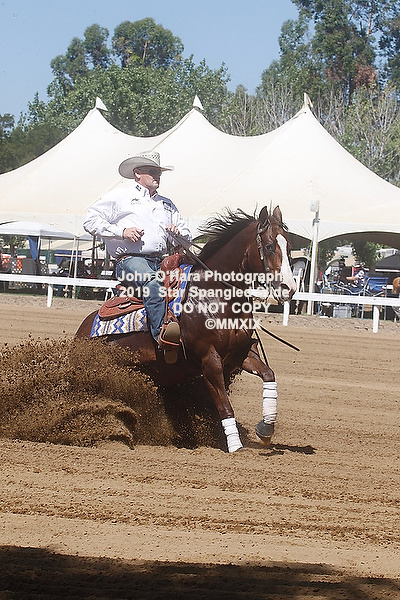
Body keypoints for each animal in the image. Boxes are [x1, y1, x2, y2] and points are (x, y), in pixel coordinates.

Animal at [76, 206, 297, 452]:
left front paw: (266, 429)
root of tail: (83, 329)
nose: (289, 288)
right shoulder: (210, 360)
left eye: (288, 245)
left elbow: (269, 375)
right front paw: (235, 445)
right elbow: (224, 406)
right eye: (269, 246)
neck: (215, 295)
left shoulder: (241, 353)